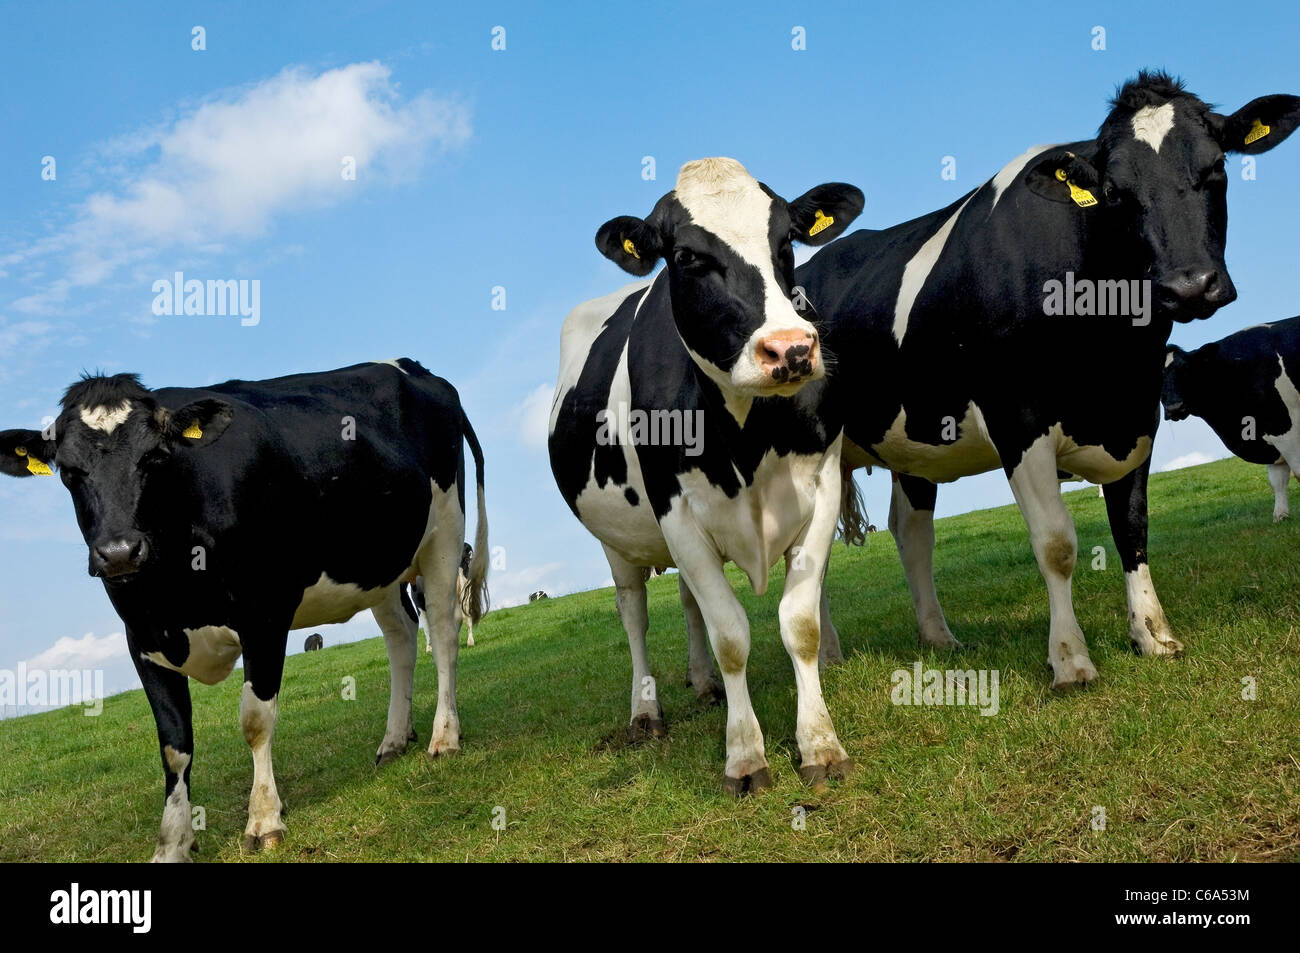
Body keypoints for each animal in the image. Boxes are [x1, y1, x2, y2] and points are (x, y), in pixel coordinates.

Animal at [0, 358, 488, 863]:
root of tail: (416, 368)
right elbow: (174, 747)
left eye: (154, 458)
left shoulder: (264, 617)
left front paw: (265, 818)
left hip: (444, 535)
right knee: (401, 637)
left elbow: (255, 721)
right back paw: (393, 739)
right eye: (68, 472)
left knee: (443, 632)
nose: (119, 553)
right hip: (379, 566)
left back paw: (444, 737)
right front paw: (173, 841)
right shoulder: (143, 641)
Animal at [548, 156, 863, 790]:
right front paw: (745, 756)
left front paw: (820, 745)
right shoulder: (676, 511)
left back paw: (703, 684)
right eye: (688, 256)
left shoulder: (821, 489)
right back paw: (646, 712)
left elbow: (799, 624)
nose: (791, 349)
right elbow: (731, 635)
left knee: (688, 600)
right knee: (634, 614)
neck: (746, 436)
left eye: (786, 240)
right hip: (616, 540)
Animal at [1164, 314, 1300, 520]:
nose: (1174, 407)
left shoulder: (1284, 426)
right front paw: (1280, 515)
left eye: (1187, 370)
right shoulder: (1268, 429)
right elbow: (1277, 479)